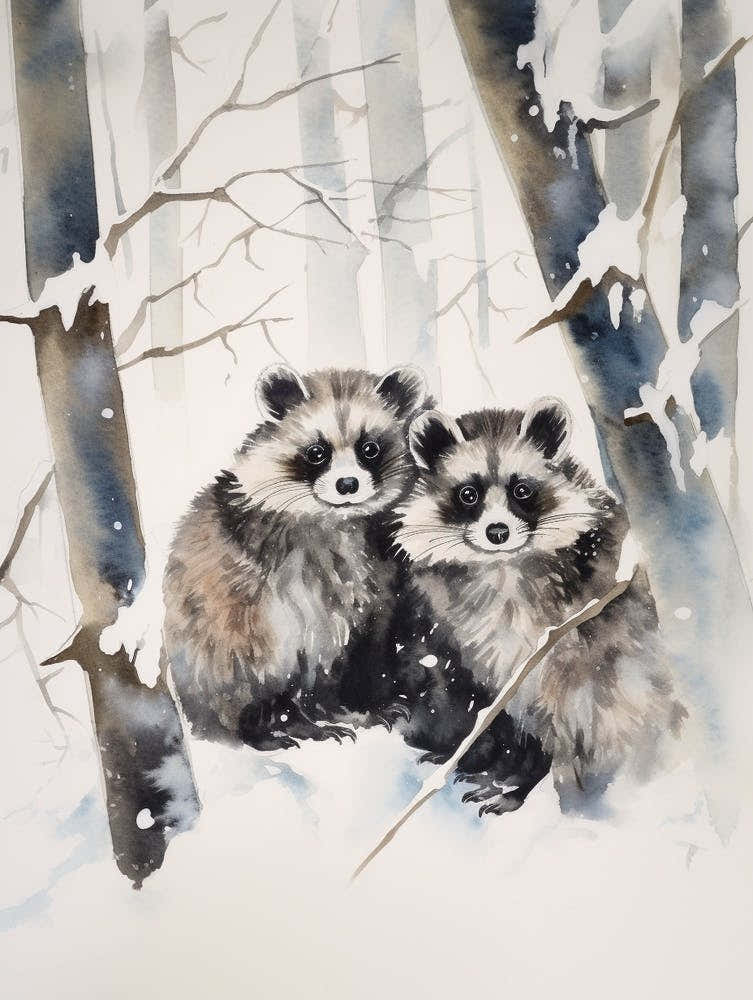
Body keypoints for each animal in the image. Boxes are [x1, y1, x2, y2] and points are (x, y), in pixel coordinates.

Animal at [163, 364, 427, 751]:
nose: (347, 485)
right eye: (317, 452)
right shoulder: (276, 554)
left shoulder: (373, 569)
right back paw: (267, 725)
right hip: (226, 636)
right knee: (260, 670)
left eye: (370, 449)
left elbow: (354, 632)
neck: (338, 518)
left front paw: (351, 709)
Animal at [390, 398, 685, 813]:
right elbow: (507, 706)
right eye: (468, 494)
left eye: (522, 490)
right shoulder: (475, 642)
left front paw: (527, 779)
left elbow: (561, 710)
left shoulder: (570, 633)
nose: (497, 532)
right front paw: (511, 765)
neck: (503, 567)